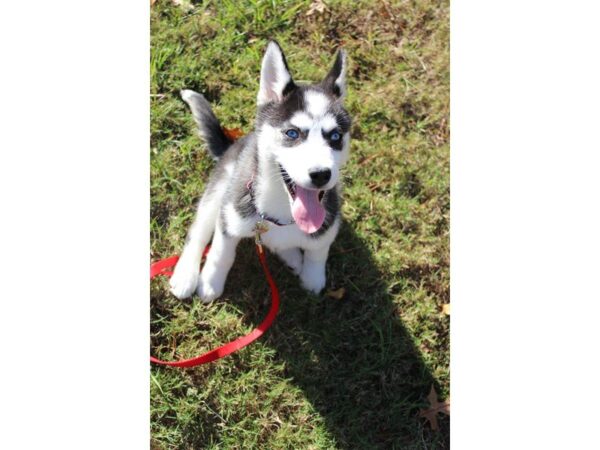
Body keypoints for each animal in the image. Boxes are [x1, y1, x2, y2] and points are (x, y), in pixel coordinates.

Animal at [169, 42, 352, 302]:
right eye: (292, 133)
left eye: (335, 136)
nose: (321, 175)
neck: (281, 214)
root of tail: (232, 145)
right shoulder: (229, 216)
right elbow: (221, 253)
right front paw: (210, 283)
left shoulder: (328, 224)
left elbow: (318, 251)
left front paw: (312, 277)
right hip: (220, 189)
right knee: (198, 231)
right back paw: (186, 275)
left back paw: (293, 257)